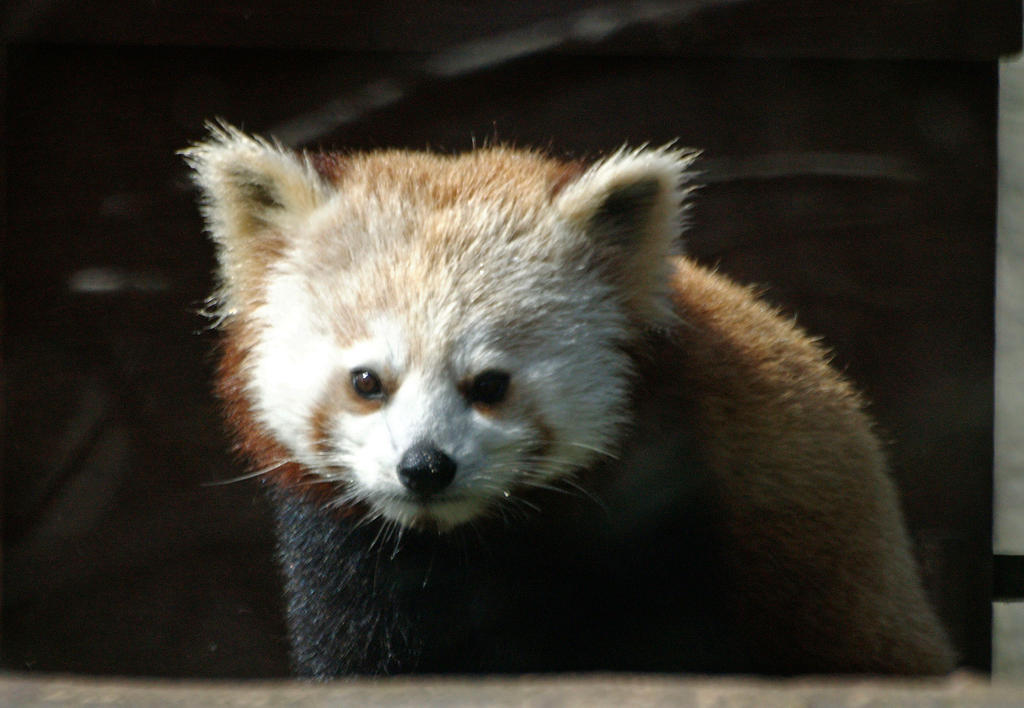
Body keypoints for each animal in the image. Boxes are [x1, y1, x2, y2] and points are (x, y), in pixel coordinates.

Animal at [182, 124, 950, 680]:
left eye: (490, 384)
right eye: (368, 381)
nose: (425, 467)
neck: (471, 542)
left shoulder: (674, 525)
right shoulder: (349, 555)